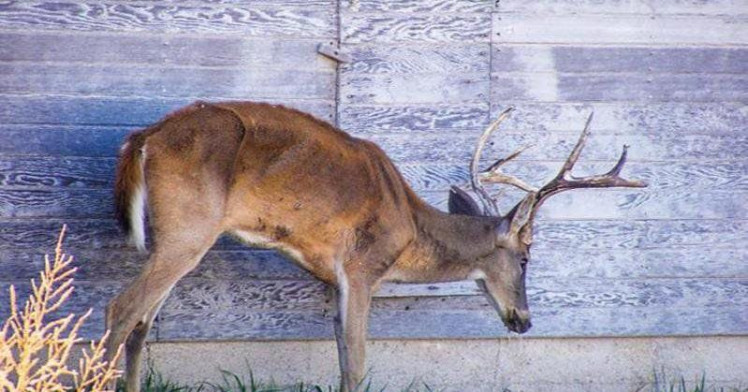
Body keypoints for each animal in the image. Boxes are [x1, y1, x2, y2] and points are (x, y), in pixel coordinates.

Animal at [106, 99, 648, 390]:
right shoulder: (363, 266)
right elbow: (359, 360)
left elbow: (342, 353)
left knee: (141, 323)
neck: (409, 227)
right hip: (189, 226)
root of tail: (143, 138)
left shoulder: (333, 278)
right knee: (122, 309)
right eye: (526, 258)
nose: (524, 321)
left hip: (176, 234)